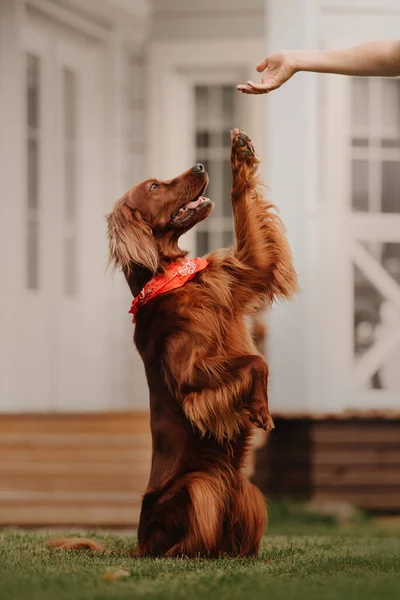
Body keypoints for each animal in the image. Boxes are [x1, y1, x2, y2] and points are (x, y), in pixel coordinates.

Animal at [48, 130, 296, 556]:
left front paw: (240, 155)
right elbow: (255, 362)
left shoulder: (244, 271)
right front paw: (260, 408)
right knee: (181, 544)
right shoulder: (186, 374)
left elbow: (248, 225)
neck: (175, 279)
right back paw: (184, 554)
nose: (199, 165)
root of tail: (138, 543)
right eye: (154, 186)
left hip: (246, 490)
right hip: (198, 485)